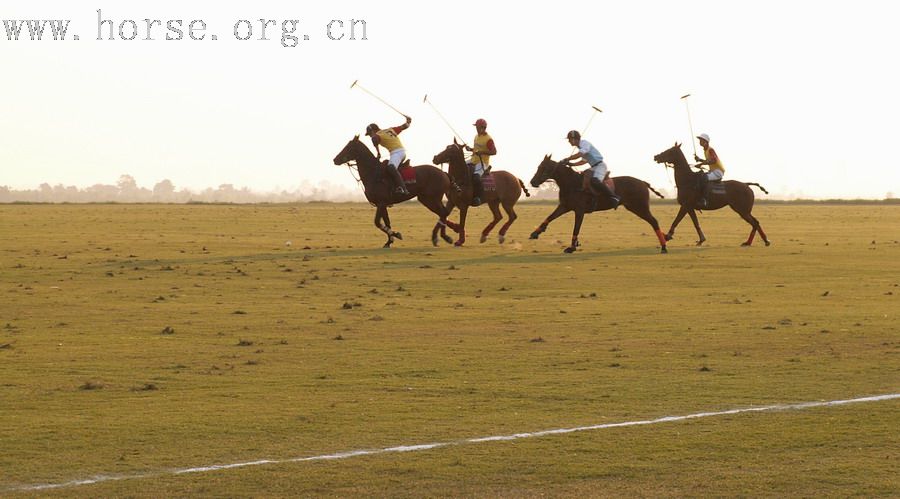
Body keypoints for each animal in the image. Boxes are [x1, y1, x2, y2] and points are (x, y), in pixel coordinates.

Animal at [528, 155, 668, 254]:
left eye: (544, 168)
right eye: (538, 166)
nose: (533, 182)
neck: (572, 183)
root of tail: (643, 182)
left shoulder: (579, 210)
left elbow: (576, 228)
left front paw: (572, 247)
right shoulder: (565, 206)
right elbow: (550, 217)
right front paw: (535, 233)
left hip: (639, 206)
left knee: (654, 221)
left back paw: (664, 247)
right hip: (635, 207)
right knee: (653, 221)